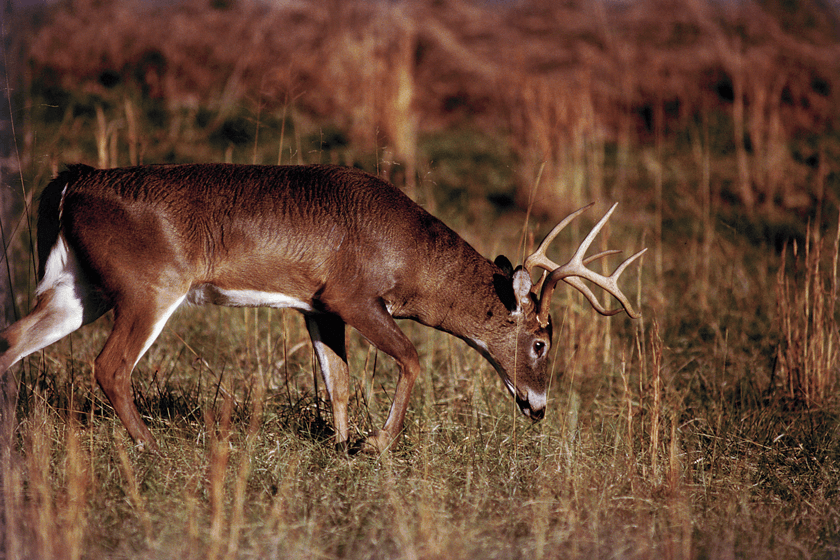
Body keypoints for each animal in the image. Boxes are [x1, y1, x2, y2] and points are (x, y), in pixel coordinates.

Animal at [0, 163, 645, 453]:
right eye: (541, 341)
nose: (538, 408)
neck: (410, 257)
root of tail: (71, 183)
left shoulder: (316, 305)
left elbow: (337, 380)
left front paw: (340, 445)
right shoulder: (351, 293)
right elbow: (411, 358)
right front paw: (377, 444)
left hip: (78, 287)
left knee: (11, 340)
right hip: (148, 286)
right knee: (109, 366)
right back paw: (154, 445)